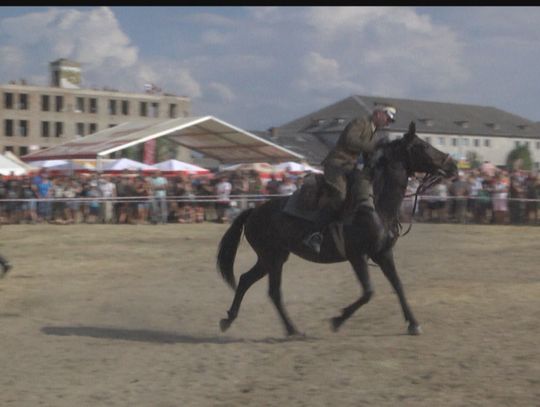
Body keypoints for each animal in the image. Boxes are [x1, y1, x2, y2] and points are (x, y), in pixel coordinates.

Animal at [217, 122, 458, 338]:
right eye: (422, 146)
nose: (453, 165)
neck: (376, 205)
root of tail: (254, 211)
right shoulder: (357, 256)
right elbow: (368, 292)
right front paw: (337, 320)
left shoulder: (383, 253)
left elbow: (398, 286)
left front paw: (413, 323)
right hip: (272, 258)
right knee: (269, 290)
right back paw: (284, 328)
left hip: (274, 258)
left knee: (250, 282)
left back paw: (240, 321)